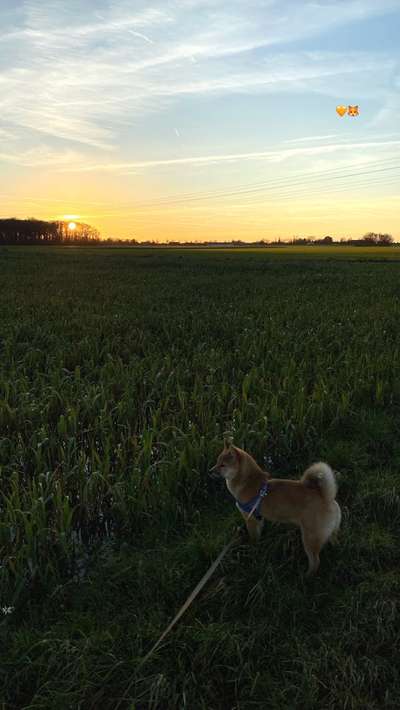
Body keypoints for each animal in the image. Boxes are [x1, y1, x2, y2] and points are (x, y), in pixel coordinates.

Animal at [209, 440, 340, 580]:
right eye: (217, 462)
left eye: (223, 465)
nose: (210, 471)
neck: (247, 481)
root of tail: (326, 497)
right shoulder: (259, 518)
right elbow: (259, 533)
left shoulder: (250, 519)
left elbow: (253, 536)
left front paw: (253, 547)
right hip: (328, 532)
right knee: (333, 542)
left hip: (309, 538)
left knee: (315, 561)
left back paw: (306, 576)